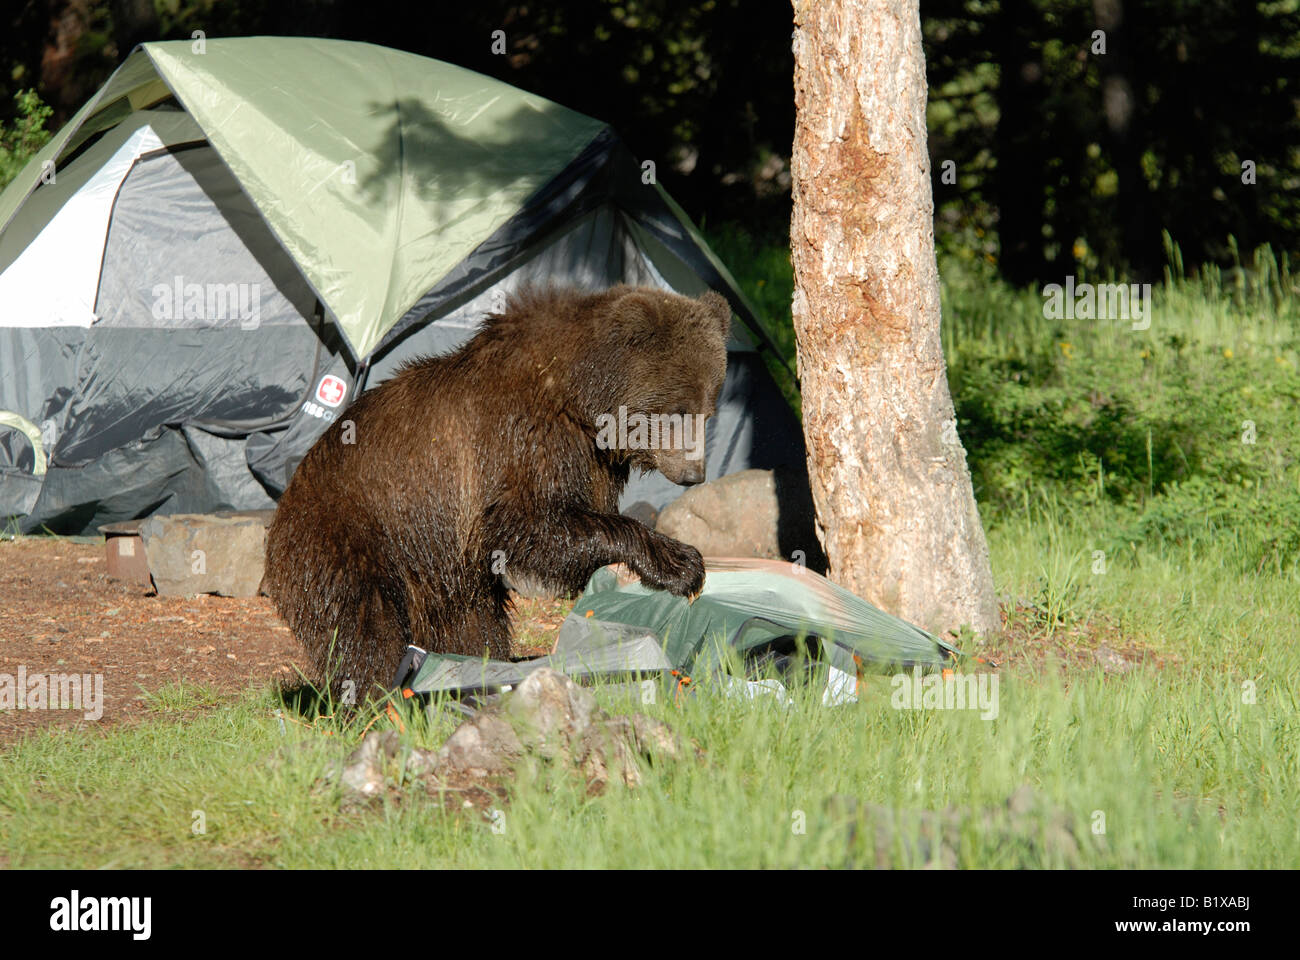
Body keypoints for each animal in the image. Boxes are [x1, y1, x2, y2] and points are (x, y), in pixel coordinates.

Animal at [263, 282, 733, 697]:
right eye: (677, 411)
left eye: (708, 411)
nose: (694, 473)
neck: (580, 399)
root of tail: (285, 504)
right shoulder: (515, 440)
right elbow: (527, 523)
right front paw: (680, 563)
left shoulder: (591, 460)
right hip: (353, 538)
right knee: (364, 628)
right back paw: (378, 699)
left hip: (441, 573)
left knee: (472, 624)